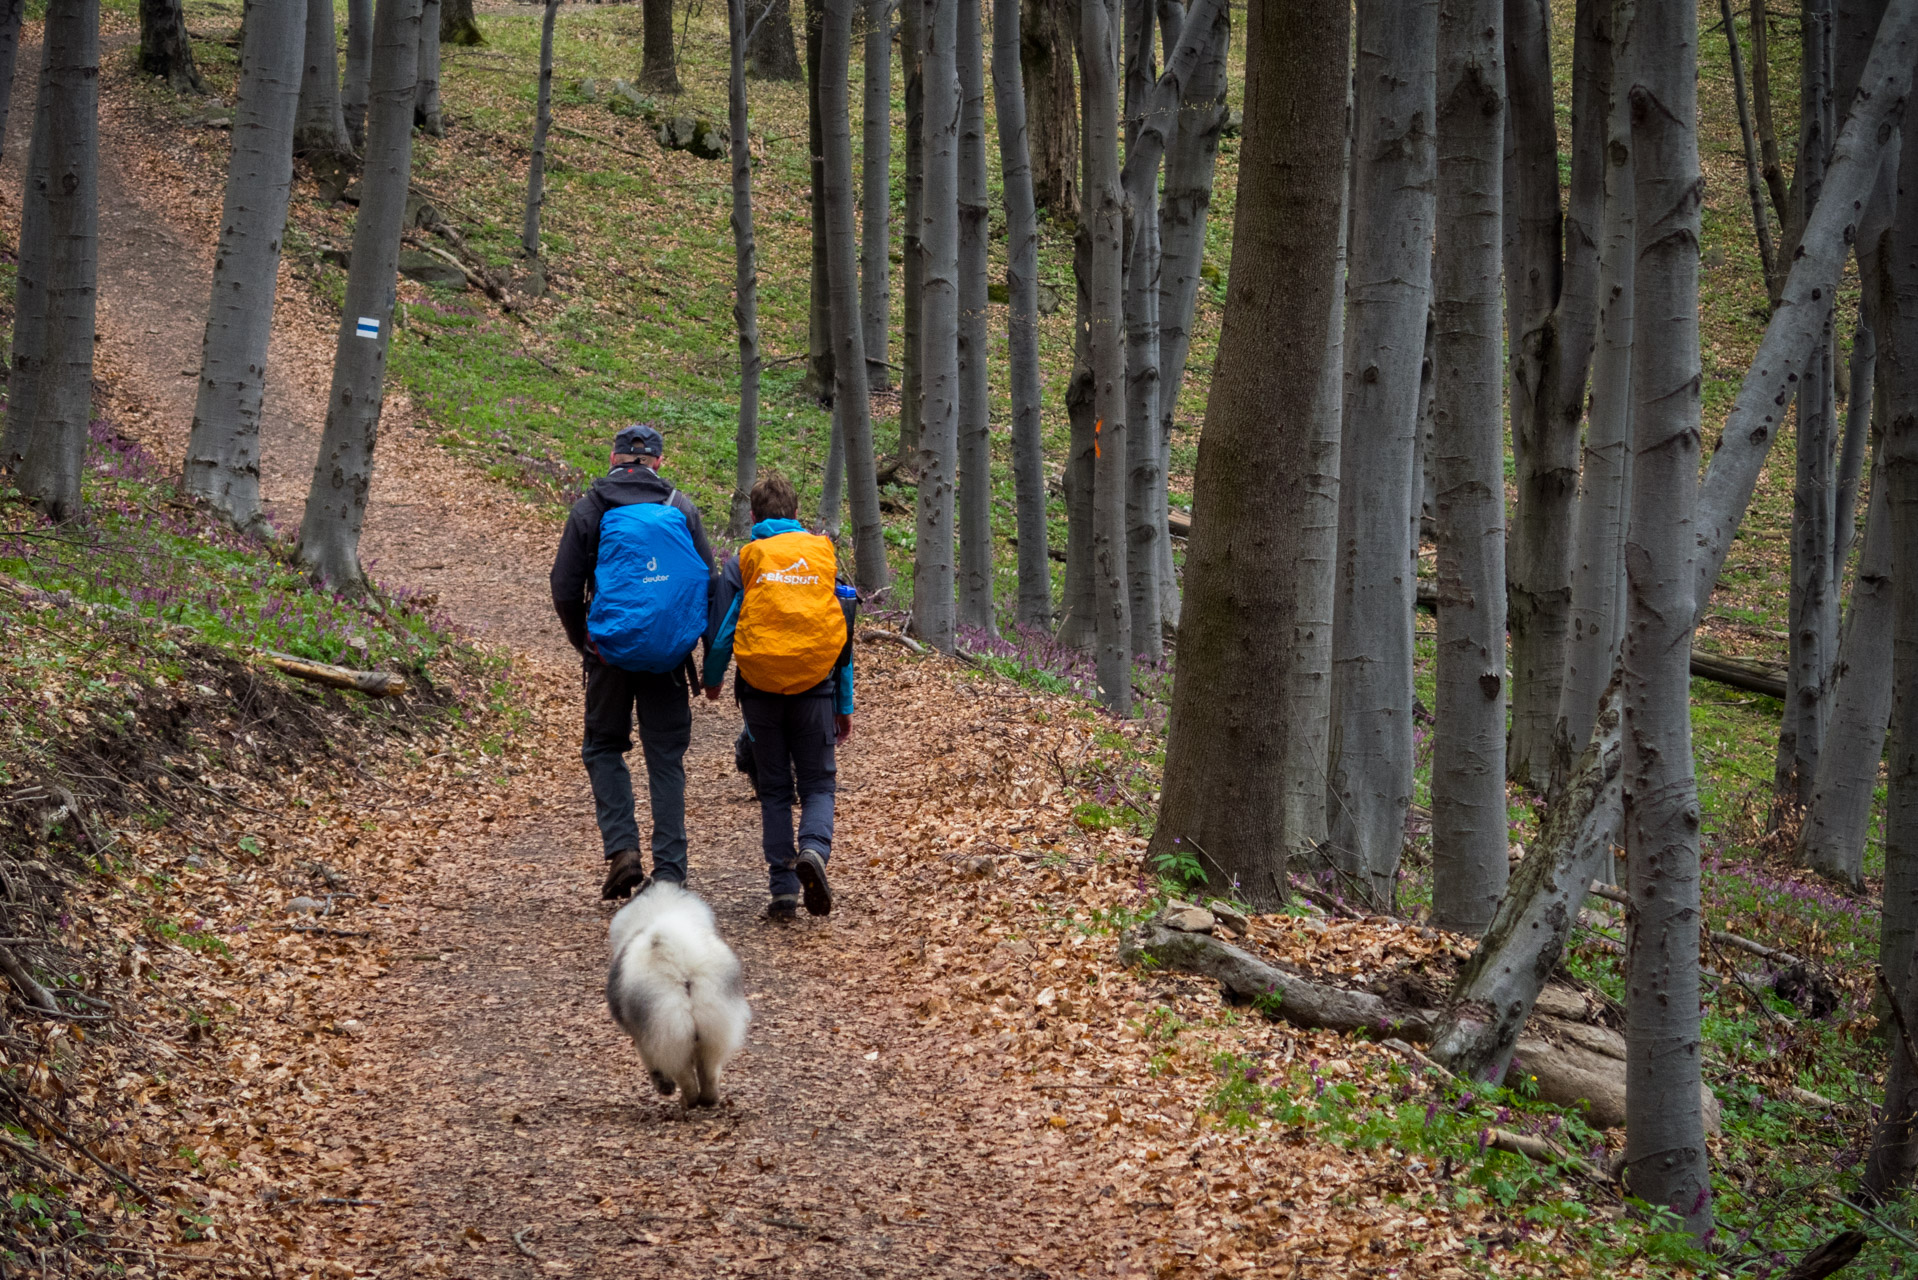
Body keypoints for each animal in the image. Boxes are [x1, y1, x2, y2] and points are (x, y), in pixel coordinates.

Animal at [606, 882, 748, 1113]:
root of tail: (681, 961)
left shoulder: (641, 1035)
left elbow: (650, 1062)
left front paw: (664, 1086)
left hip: (669, 1029)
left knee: (684, 1075)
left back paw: (686, 1101)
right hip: (714, 1027)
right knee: (709, 1072)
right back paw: (708, 1100)